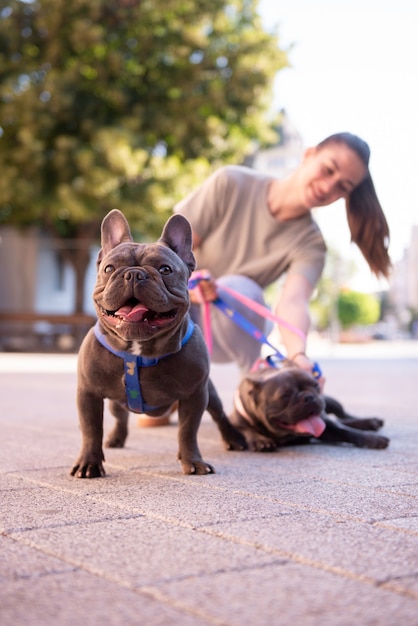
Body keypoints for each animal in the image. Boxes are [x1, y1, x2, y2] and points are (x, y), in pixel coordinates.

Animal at [71, 207, 245, 476]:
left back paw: (235, 438)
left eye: (165, 270)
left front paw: (192, 461)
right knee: (120, 416)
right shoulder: (88, 393)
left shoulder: (195, 395)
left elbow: (187, 431)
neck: (138, 350)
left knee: (219, 414)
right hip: (115, 403)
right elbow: (91, 430)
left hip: (210, 392)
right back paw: (116, 438)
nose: (134, 274)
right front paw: (89, 463)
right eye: (109, 269)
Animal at [230, 358, 390, 450]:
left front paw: (372, 439)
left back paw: (371, 422)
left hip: (331, 402)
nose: (309, 397)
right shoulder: (235, 419)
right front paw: (260, 439)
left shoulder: (327, 425)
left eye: (315, 385)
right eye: (285, 395)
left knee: (343, 416)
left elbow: (345, 431)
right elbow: (245, 428)